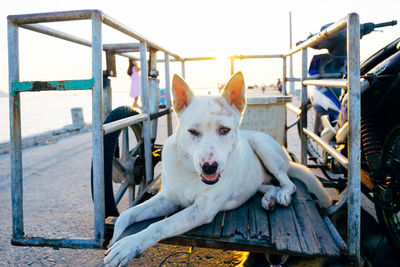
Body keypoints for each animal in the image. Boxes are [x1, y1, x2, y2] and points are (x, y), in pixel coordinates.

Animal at [103, 71, 332, 267]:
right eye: (192, 132)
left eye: (224, 130)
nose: (209, 166)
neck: (190, 172)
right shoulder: (167, 200)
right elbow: (127, 215)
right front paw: (115, 238)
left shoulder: (201, 210)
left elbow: (159, 225)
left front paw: (128, 246)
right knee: (266, 186)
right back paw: (269, 198)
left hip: (261, 144)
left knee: (288, 183)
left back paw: (282, 194)